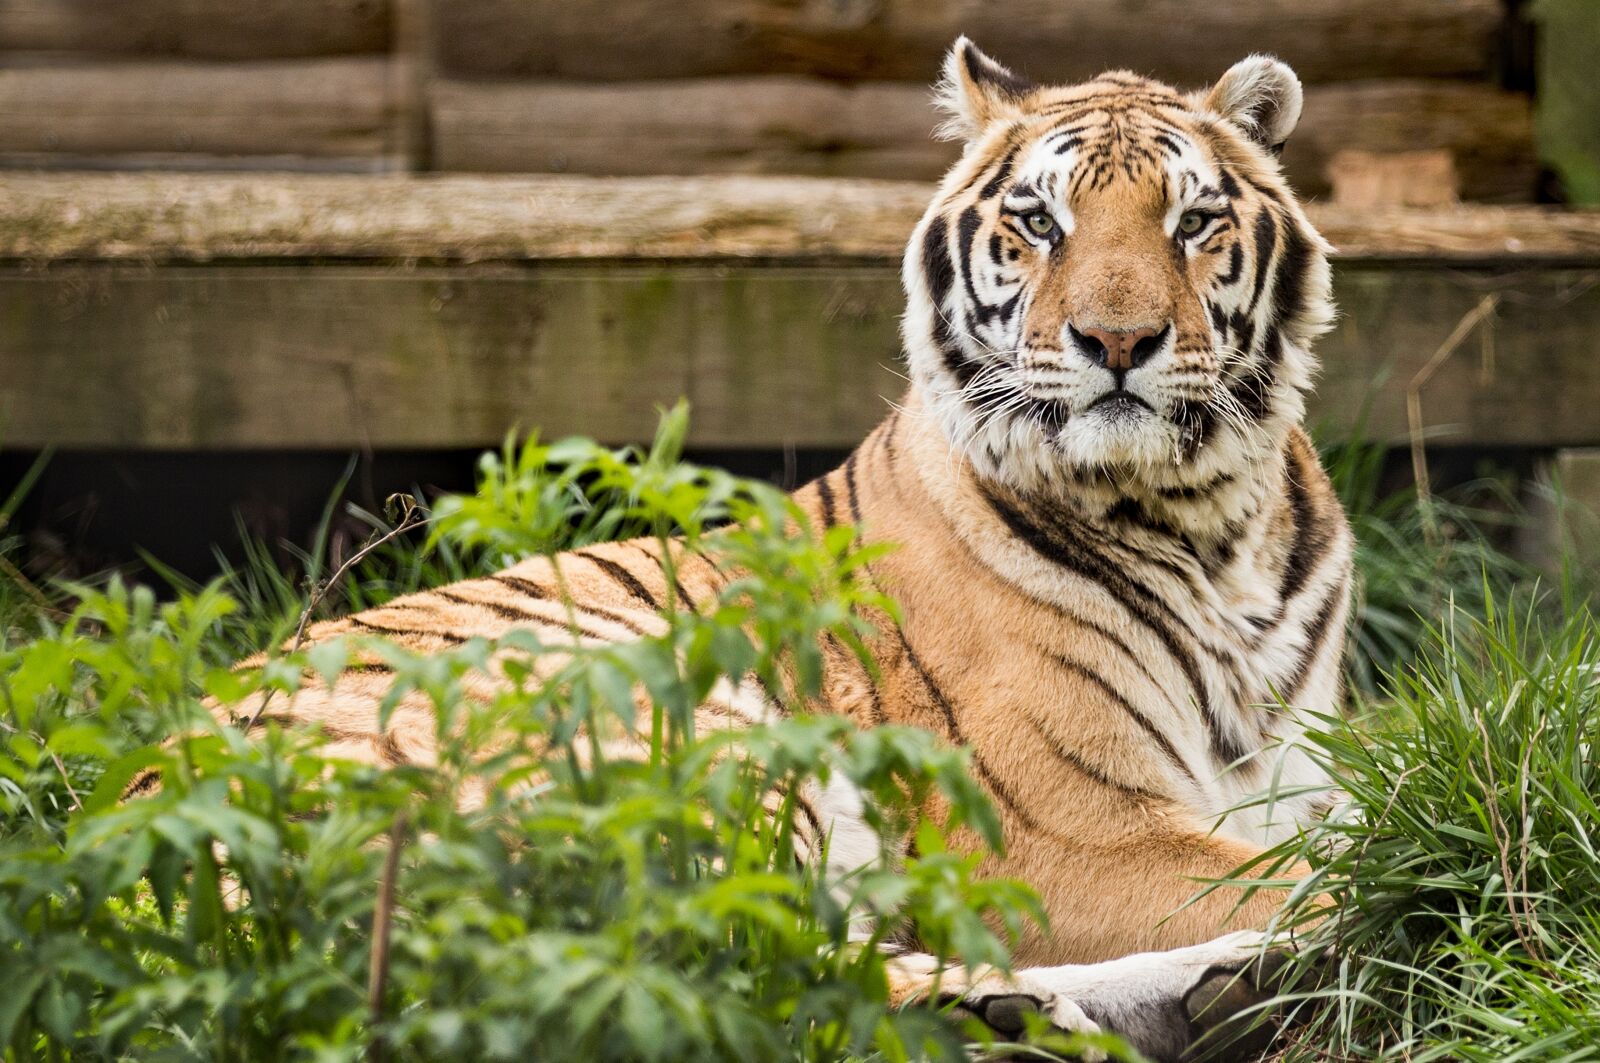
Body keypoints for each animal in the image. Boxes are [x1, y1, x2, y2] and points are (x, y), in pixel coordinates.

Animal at [146, 39, 1353, 1061]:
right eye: (1039, 224)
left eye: (1191, 222)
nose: (1116, 341)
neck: (1209, 525)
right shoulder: (1061, 828)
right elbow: (1318, 875)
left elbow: (1334, 844)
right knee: (712, 964)